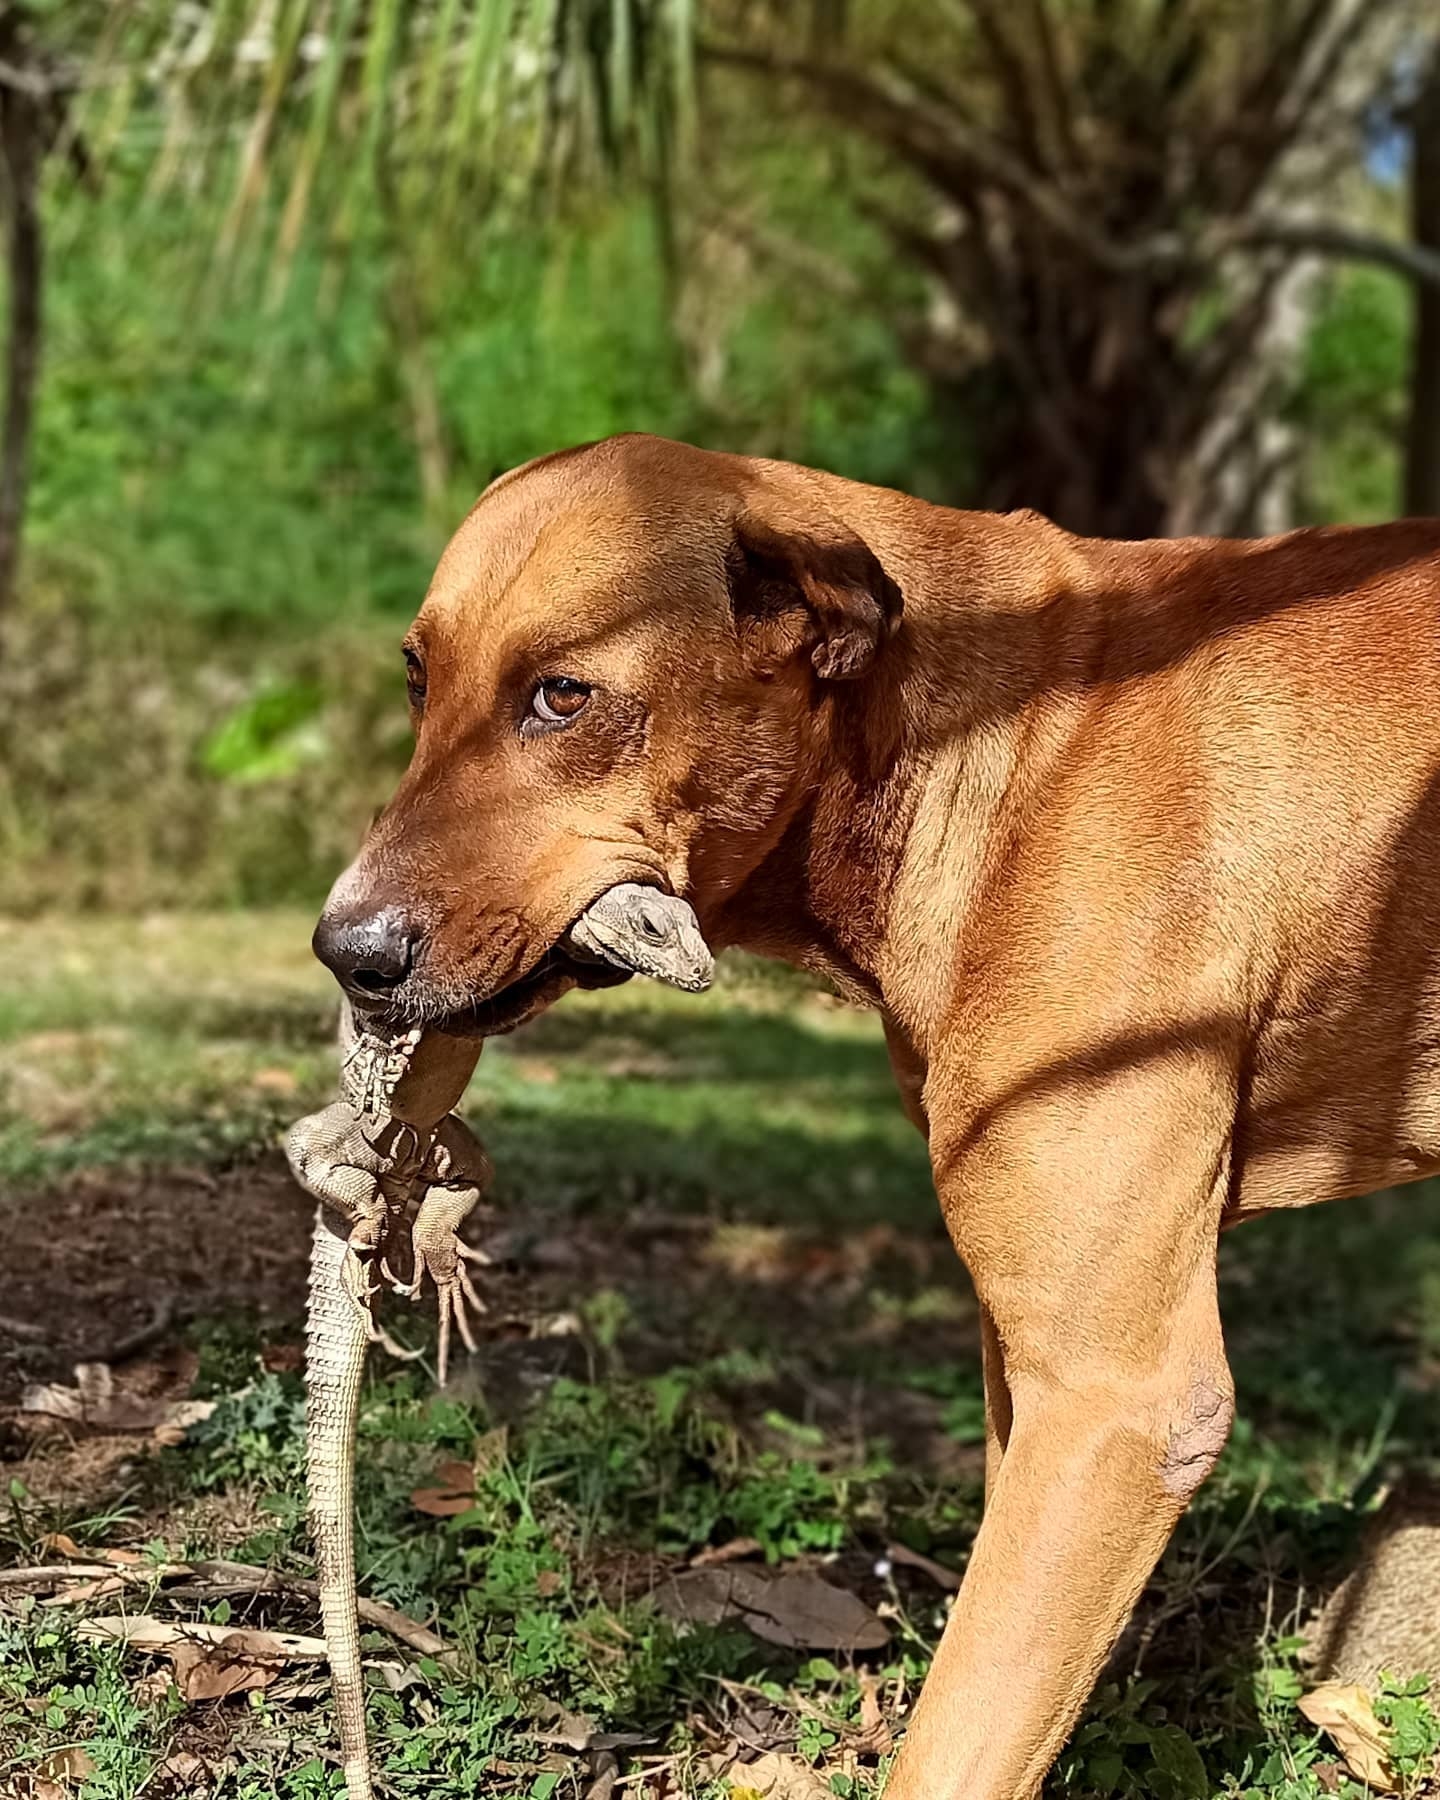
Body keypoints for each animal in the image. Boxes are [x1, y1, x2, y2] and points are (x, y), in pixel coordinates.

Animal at [318, 435, 1440, 1800]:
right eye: (418, 677)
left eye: (563, 699)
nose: (346, 951)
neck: (996, 756)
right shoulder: (1029, 1373)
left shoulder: (1120, 1402)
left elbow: (957, 1740)